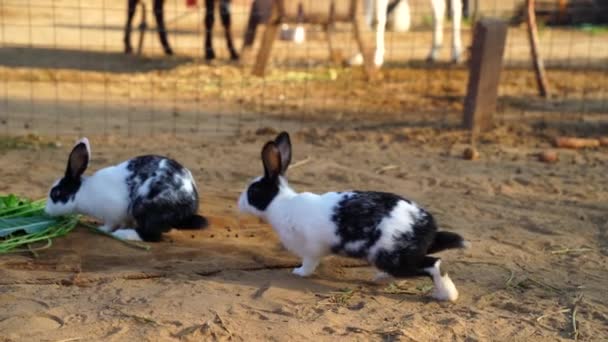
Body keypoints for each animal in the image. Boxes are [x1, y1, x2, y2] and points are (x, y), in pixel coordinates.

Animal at [44, 138, 208, 242]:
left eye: (55, 193)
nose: (46, 211)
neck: (83, 192)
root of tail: (190, 205)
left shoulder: (112, 213)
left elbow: (110, 224)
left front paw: (102, 229)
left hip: (144, 208)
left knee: (152, 235)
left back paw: (123, 235)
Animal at [239, 132, 470, 300]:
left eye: (253, 191)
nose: (239, 203)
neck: (281, 203)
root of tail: (428, 228)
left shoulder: (311, 250)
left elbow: (309, 264)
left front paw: (298, 273)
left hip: (394, 258)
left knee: (435, 264)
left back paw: (447, 295)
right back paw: (380, 277)